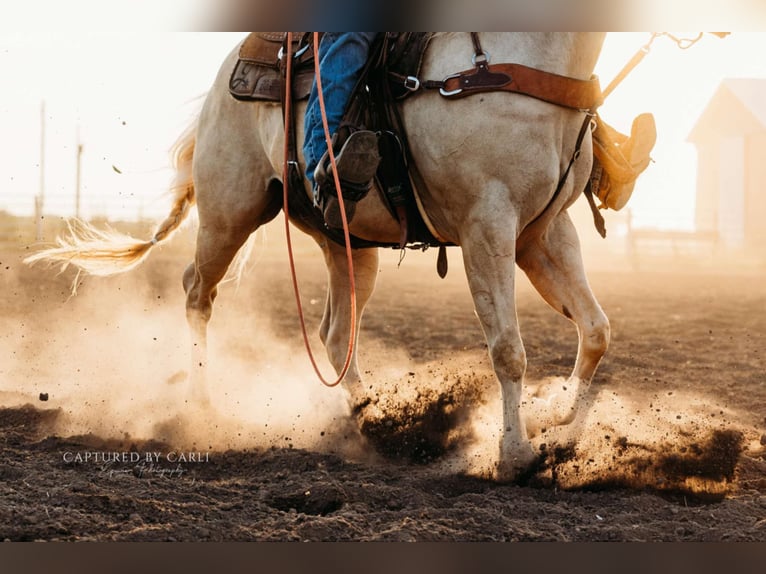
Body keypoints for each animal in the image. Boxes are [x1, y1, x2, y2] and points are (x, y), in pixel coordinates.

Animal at [25, 32, 612, 482]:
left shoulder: (544, 232)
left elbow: (596, 330)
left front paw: (556, 423)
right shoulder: (486, 223)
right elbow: (508, 349)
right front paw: (515, 456)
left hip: (347, 246)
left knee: (334, 333)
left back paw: (371, 419)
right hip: (228, 213)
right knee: (197, 291)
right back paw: (200, 406)